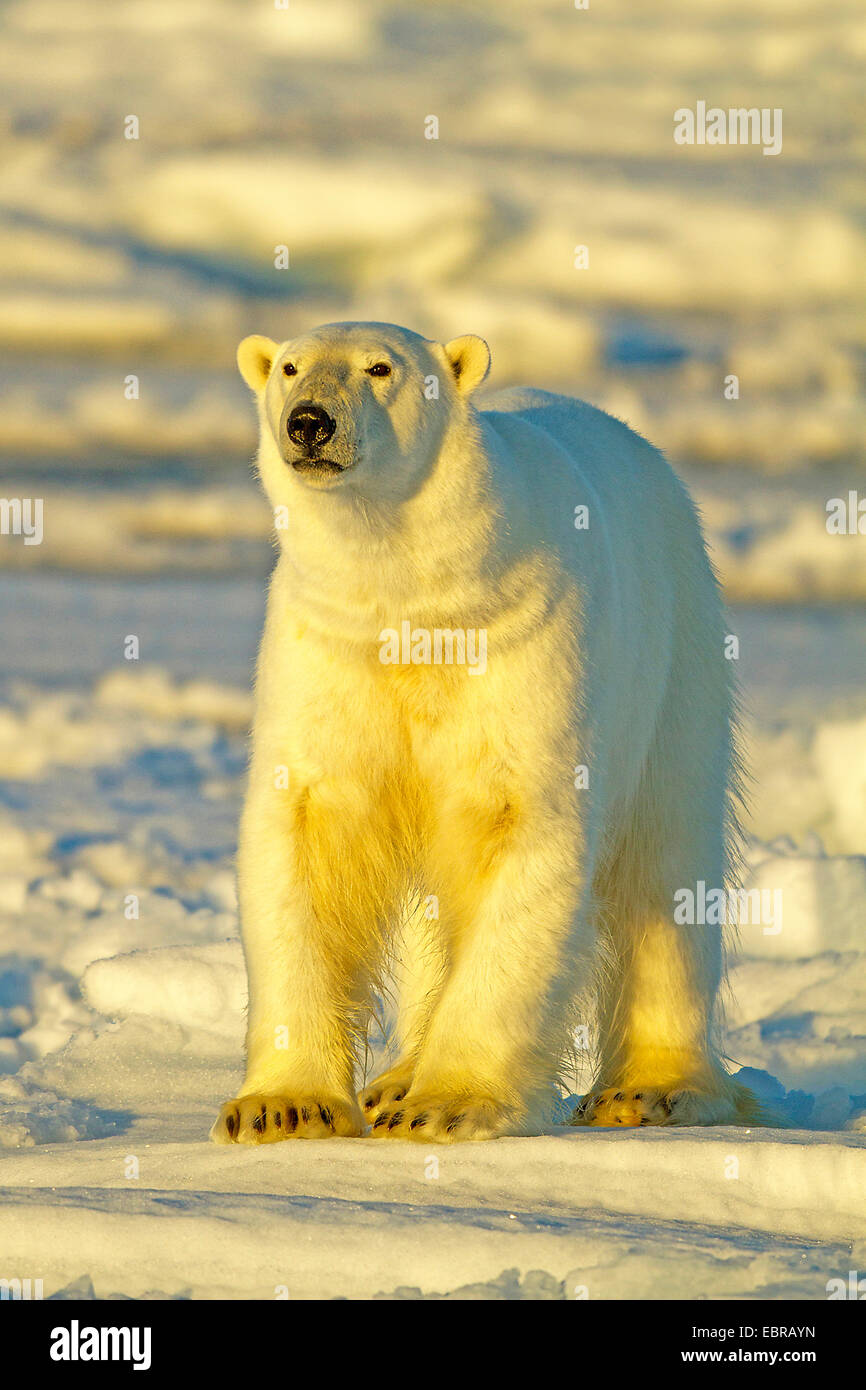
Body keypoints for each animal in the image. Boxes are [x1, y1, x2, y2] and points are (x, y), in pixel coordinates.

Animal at [211, 320, 759, 1144]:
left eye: (381, 368)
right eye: (290, 367)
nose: (309, 422)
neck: (416, 597)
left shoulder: (519, 644)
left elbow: (520, 830)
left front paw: (447, 1103)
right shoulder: (331, 652)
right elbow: (306, 838)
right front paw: (282, 1106)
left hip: (677, 655)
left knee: (664, 863)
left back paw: (652, 1089)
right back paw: (393, 1080)